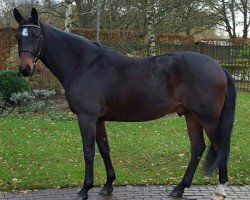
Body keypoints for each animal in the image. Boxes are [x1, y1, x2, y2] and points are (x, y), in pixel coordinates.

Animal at [13, 7, 236, 200]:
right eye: (17, 37)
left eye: (36, 36)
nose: (25, 69)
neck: (84, 65)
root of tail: (219, 67)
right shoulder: (98, 120)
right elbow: (104, 148)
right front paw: (108, 184)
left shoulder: (87, 118)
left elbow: (89, 152)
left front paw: (85, 189)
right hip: (191, 115)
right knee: (197, 148)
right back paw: (179, 188)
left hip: (207, 118)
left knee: (220, 146)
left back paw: (220, 189)